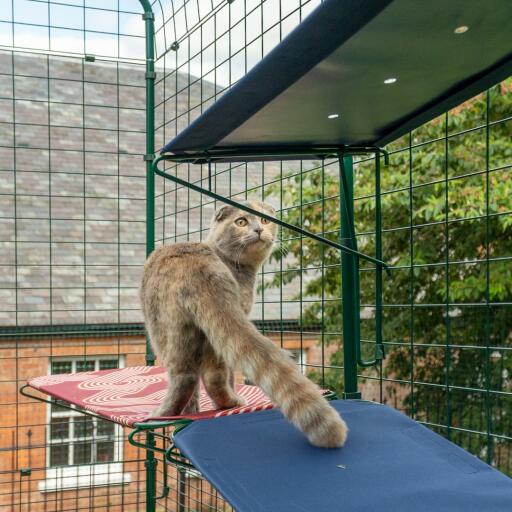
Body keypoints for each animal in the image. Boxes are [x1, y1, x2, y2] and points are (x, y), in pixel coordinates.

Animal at [140, 200, 348, 448]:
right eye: (241, 221)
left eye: (265, 220)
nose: (258, 229)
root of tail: (198, 269)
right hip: (170, 331)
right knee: (203, 376)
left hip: (175, 333)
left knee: (193, 376)